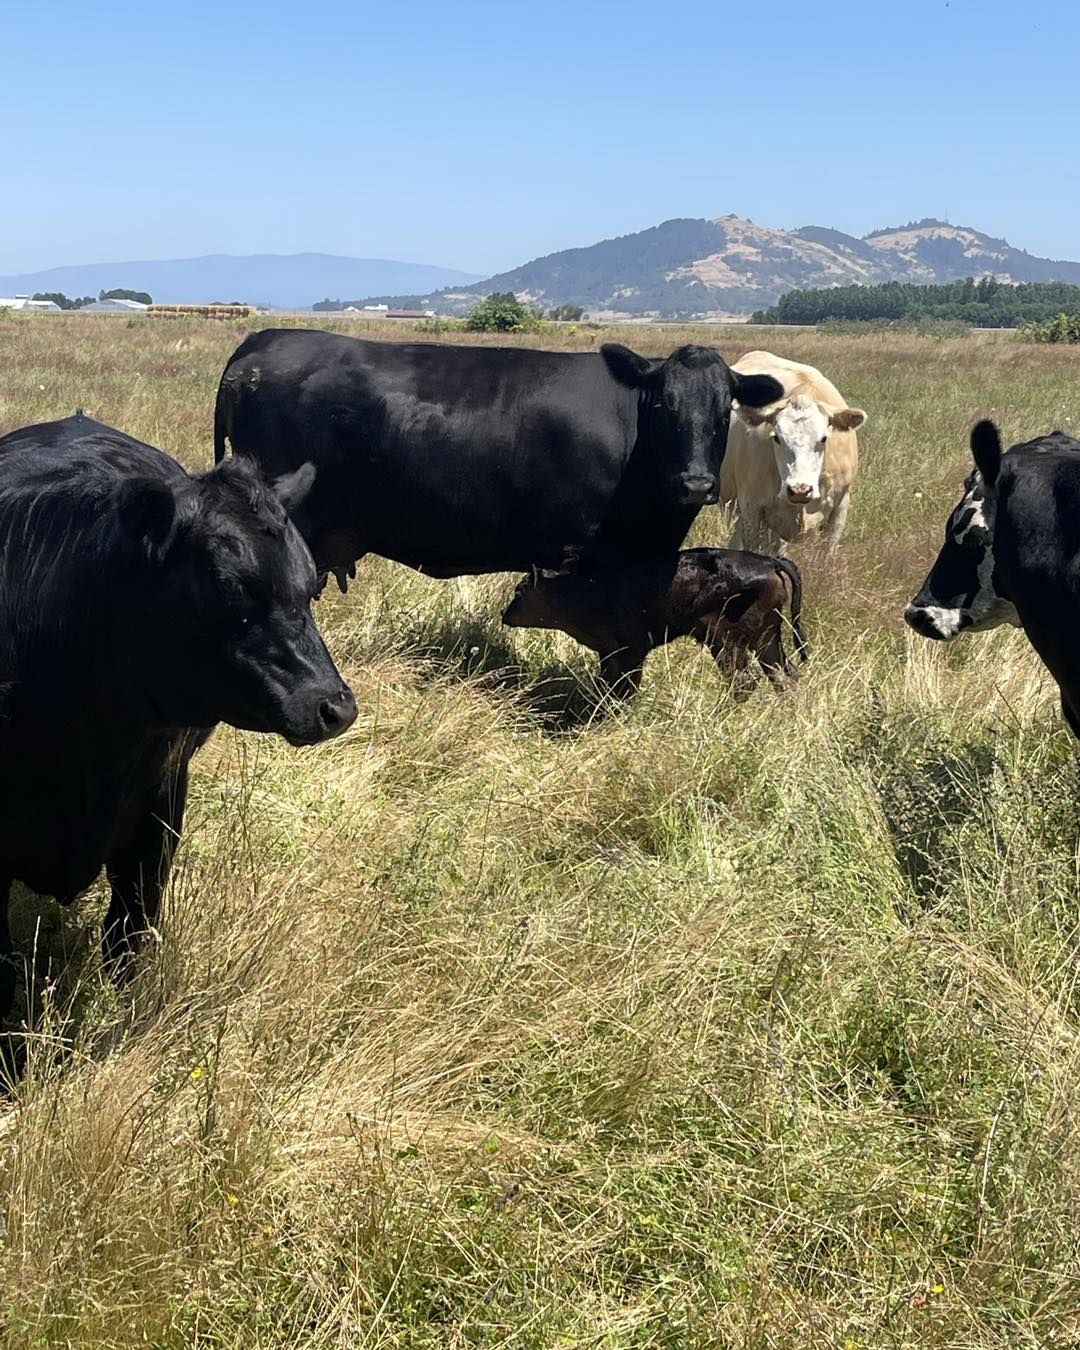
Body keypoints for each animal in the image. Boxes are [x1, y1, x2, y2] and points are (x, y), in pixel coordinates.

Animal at [501, 547, 809, 699]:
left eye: (519, 592)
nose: (505, 615)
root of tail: (768, 560)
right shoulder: (609, 652)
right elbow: (608, 685)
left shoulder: (633, 649)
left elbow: (626, 687)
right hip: (766, 636)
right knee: (785, 675)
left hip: (724, 638)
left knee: (744, 682)